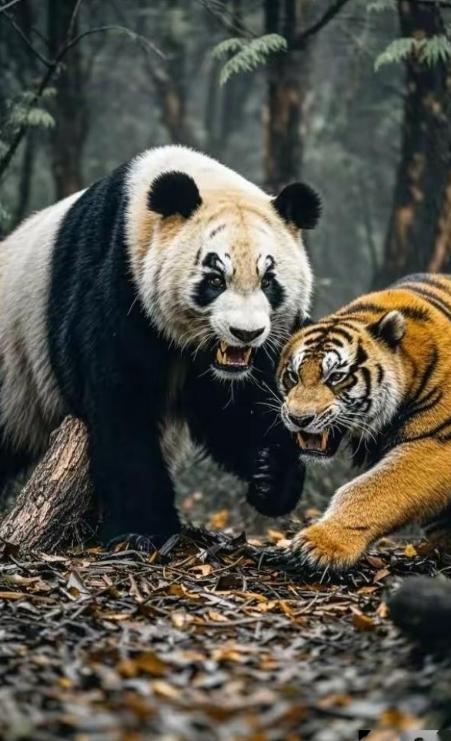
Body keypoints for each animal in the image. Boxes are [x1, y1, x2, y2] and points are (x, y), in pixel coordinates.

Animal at [276, 273, 451, 570]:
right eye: (293, 376)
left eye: (335, 377)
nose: (299, 418)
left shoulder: (439, 443)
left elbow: (367, 489)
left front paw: (319, 544)